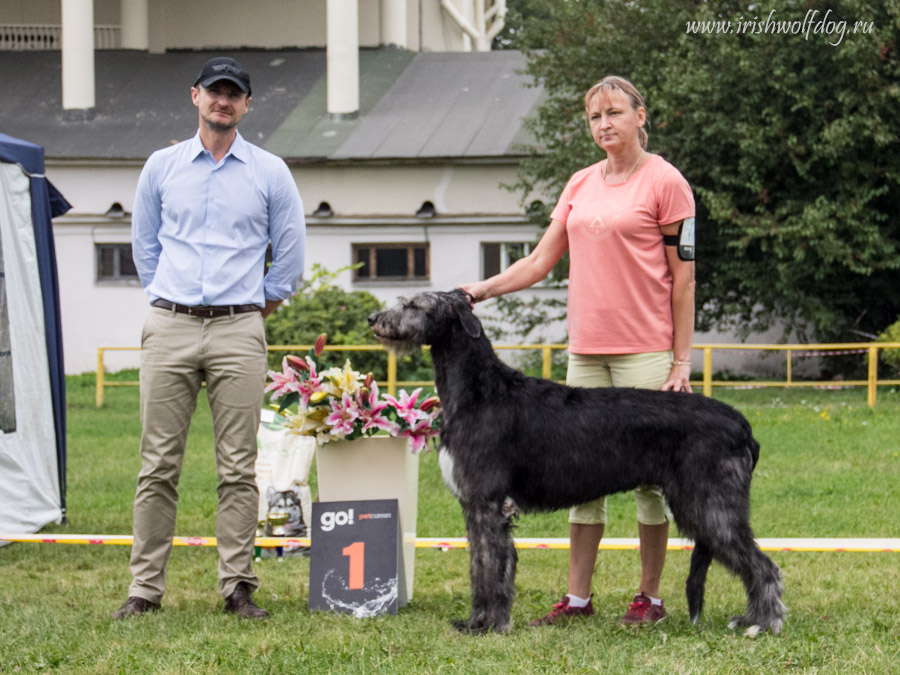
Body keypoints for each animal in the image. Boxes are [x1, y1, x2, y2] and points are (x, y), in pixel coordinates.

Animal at [370, 292, 784, 640]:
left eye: (413, 304)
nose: (373, 318)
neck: (480, 392)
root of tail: (743, 426)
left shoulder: (487, 503)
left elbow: (492, 567)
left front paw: (491, 625)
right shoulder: (475, 507)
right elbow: (480, 566)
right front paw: (477, 621)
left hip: (709, 504)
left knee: (764, 565)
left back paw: (764, 623)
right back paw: (751, 618)